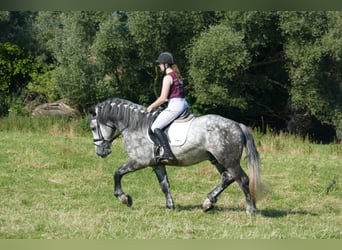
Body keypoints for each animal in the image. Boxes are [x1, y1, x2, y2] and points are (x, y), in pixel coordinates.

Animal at [88, 97, 262, 213]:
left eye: (93, 128)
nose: (101, 152)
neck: (135, 126)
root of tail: (237, 125)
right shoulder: (157, 164)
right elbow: (164, 185)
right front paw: (170, 206)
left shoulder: (139, 161)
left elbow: (117, 173)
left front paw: (124, 198)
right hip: (216, 159)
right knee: (227, 178)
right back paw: (207, 203)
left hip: (228, 160)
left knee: (242, 179)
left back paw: (251, 209)